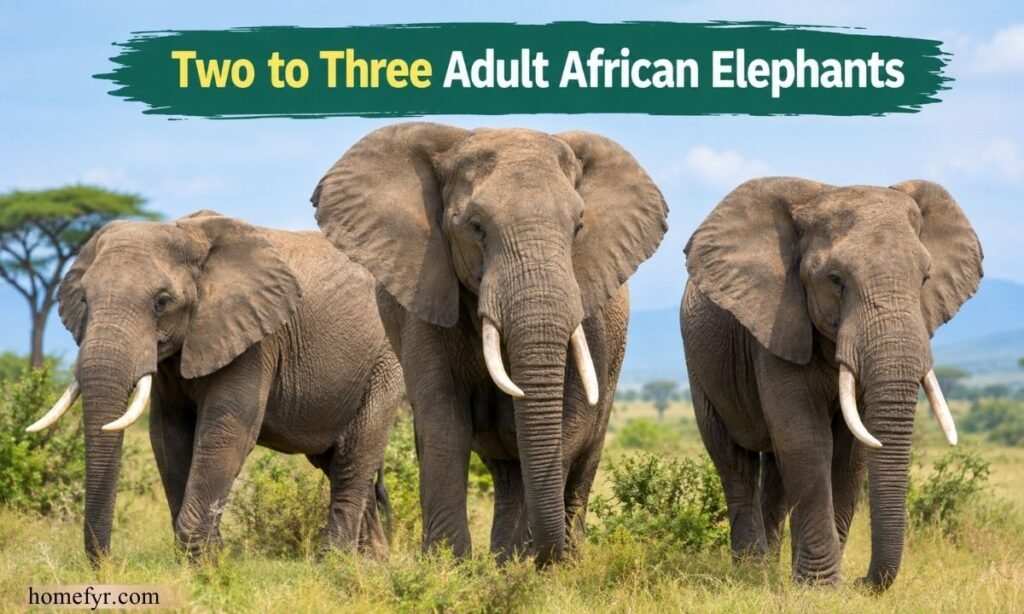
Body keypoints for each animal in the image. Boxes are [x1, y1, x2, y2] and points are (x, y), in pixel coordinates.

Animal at [26, 210, 403, 564]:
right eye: (85, 302)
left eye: (161, 302)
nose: (107, 563)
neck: (187, 233)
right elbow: (167, 436)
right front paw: (212, 556)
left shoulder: (255, 340)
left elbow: (226, 431)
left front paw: (202, 563)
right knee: (335, 460)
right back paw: (372, 561)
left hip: (385, 363)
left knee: (354, 458)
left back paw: (334, 561)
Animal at [311, 122, 668, 564]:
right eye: (476, 227)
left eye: (578, 228)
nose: (543, 555)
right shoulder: (425, 294)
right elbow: (443, 419)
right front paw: (449, 564)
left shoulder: (590, 315)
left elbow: (571, 419)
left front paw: (535, 565)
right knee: (506, 466)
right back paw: (506, 558)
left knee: (581, 454)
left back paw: (549, 558)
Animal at [680, 178, 982, 589]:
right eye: (835, 281)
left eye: (924, 278)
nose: (861, 582)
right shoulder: (777, 322)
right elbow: (806, 440)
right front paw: (820, 588)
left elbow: (851, 451)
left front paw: (823, 584)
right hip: (700, 369)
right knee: (734, 460)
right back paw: (752, 571)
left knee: (775, 469)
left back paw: (771, 567)